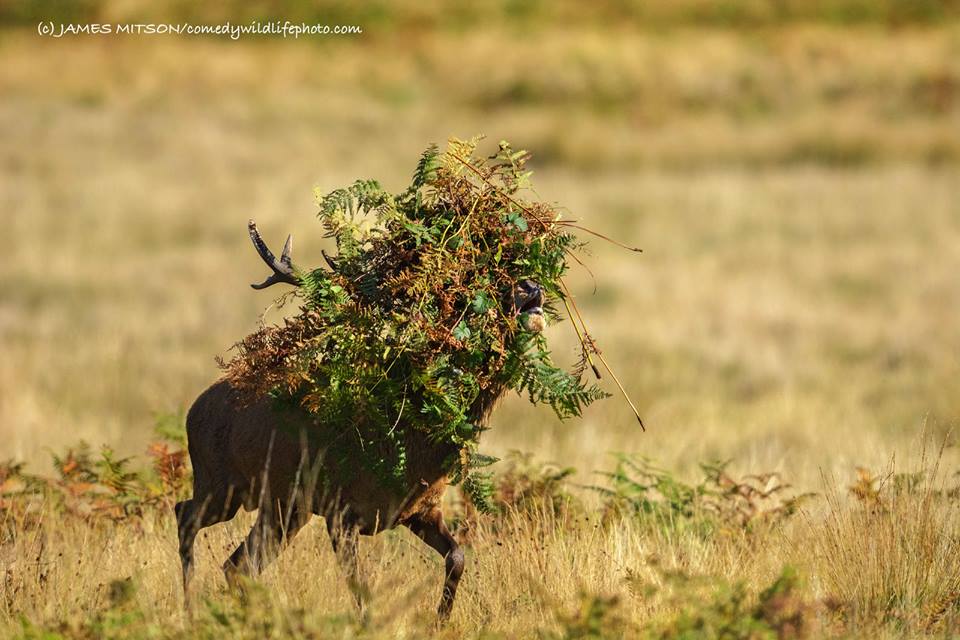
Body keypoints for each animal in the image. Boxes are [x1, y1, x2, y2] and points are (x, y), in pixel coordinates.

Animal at [174, 220, 548, 620]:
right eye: (469, 296)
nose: (531, 286)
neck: (409, 444)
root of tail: (193, 410)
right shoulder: (341, 510)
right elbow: (361, 591)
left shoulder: (420, 509)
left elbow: (458, 557)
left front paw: (440, 621)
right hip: (223, 484)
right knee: (186, 517)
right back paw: (190, 609)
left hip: (282, 506)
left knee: (236, 564)